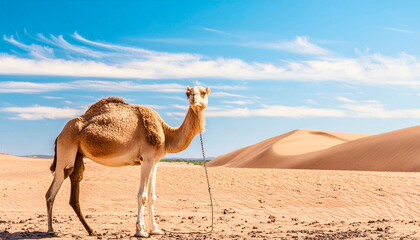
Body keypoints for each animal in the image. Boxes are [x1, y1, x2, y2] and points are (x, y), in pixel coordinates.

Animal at [45, 86, 210, 236]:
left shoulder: (155, 162)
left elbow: (152, 196)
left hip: (77, 154)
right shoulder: (146, 159)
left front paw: (155, 229)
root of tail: (59, 135)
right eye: (188, 93)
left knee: (74, 185)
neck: (167, 134)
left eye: (203, 92)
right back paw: (51, 229)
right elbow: (142, 196)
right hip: (67, 146)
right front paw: (140, 231)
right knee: (53, 189)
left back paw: (91, 230)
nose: (193, 98)